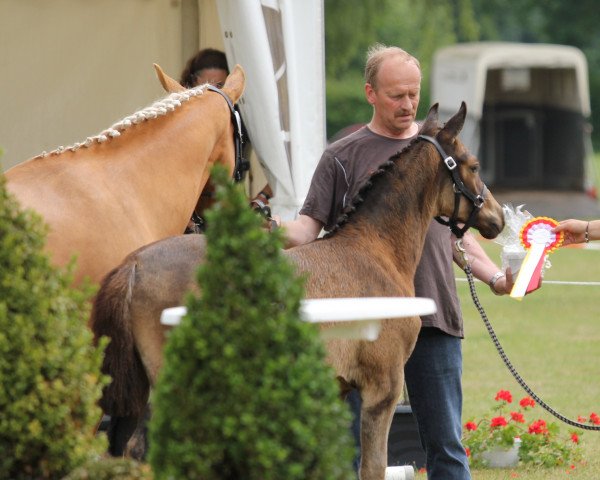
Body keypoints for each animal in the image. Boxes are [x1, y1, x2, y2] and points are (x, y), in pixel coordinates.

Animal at [94, 102, 504, 480]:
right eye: (473, 165)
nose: (498, 218)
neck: (374, 250)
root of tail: (135, 265)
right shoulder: (382, 388)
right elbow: (372, 467)